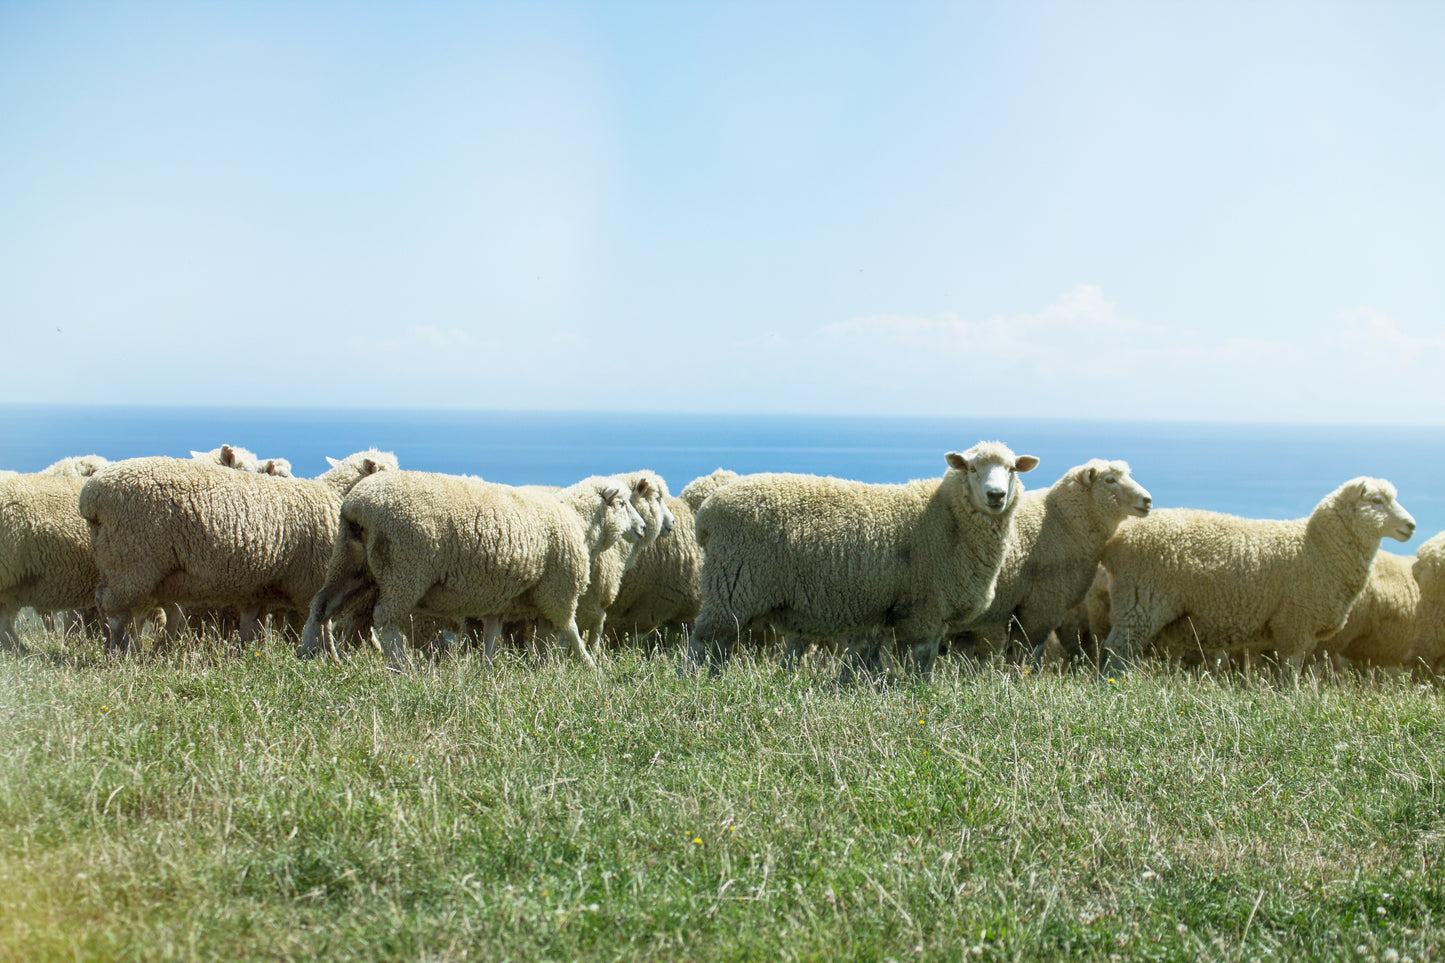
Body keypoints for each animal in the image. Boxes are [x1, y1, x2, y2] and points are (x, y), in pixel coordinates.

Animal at [81, 450, 395, 655]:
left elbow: (250, 628)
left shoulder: (259, 589)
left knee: (129, 609)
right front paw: (326, 655)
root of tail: (91, 497)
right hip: (131, 561)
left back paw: (135, 648)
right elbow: (320, 622)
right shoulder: (310, 582)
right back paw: (116, 650)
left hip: (131, 567)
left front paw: (246, 656)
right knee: (114, 611)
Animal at [298, 473, 647, 669]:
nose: (642, 528)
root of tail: (356, 505)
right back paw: (401, 666)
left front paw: (492, 670)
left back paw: (310, 655)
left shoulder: (502, 595)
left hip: (352, 565)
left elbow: (496, 633)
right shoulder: (558, 589)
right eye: (622, 504)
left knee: (321, 605)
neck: (578, 521)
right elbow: (569, 630)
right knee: (385, 618)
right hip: (405, 567)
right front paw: (589, 666)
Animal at [686, 441, 1039, 680]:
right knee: (703, 640)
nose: (996, 496)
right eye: (972, 468)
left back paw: (715, 678)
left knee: (722, 643)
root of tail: (706, 513)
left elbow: (871, 655)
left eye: (1011, 469)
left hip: (734, 588)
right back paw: (691, 680)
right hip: (732, 581)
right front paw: (922, 689)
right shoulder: (926, 605)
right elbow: (923, 658)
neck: (947, 518)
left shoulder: (890, 609)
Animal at [1096, 477, 1416, 682]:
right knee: (1117, 649)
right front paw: (1291, 699)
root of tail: (1118, 540)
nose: (1411, 525)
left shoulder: (1301, 629)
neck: (1317, 548)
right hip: (1141, 601)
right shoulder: (1295, 623)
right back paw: (1115, 686)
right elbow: (1290, 672)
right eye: (1376, 501)